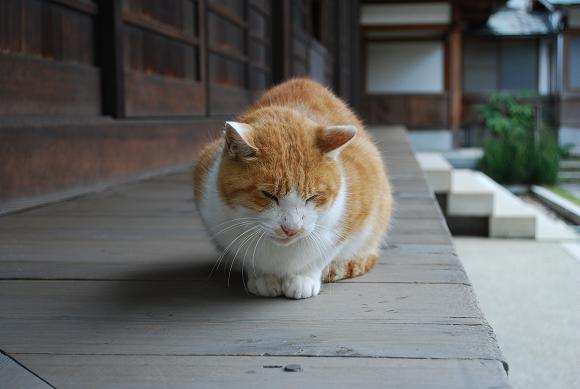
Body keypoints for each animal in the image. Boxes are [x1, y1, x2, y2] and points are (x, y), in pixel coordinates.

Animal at [193, 77, 392, 298]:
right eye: (269, 195)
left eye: (313, 197)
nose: (291, 229)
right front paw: (263, 278)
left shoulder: (355, 213)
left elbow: (323, 254)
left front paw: (303, 278)